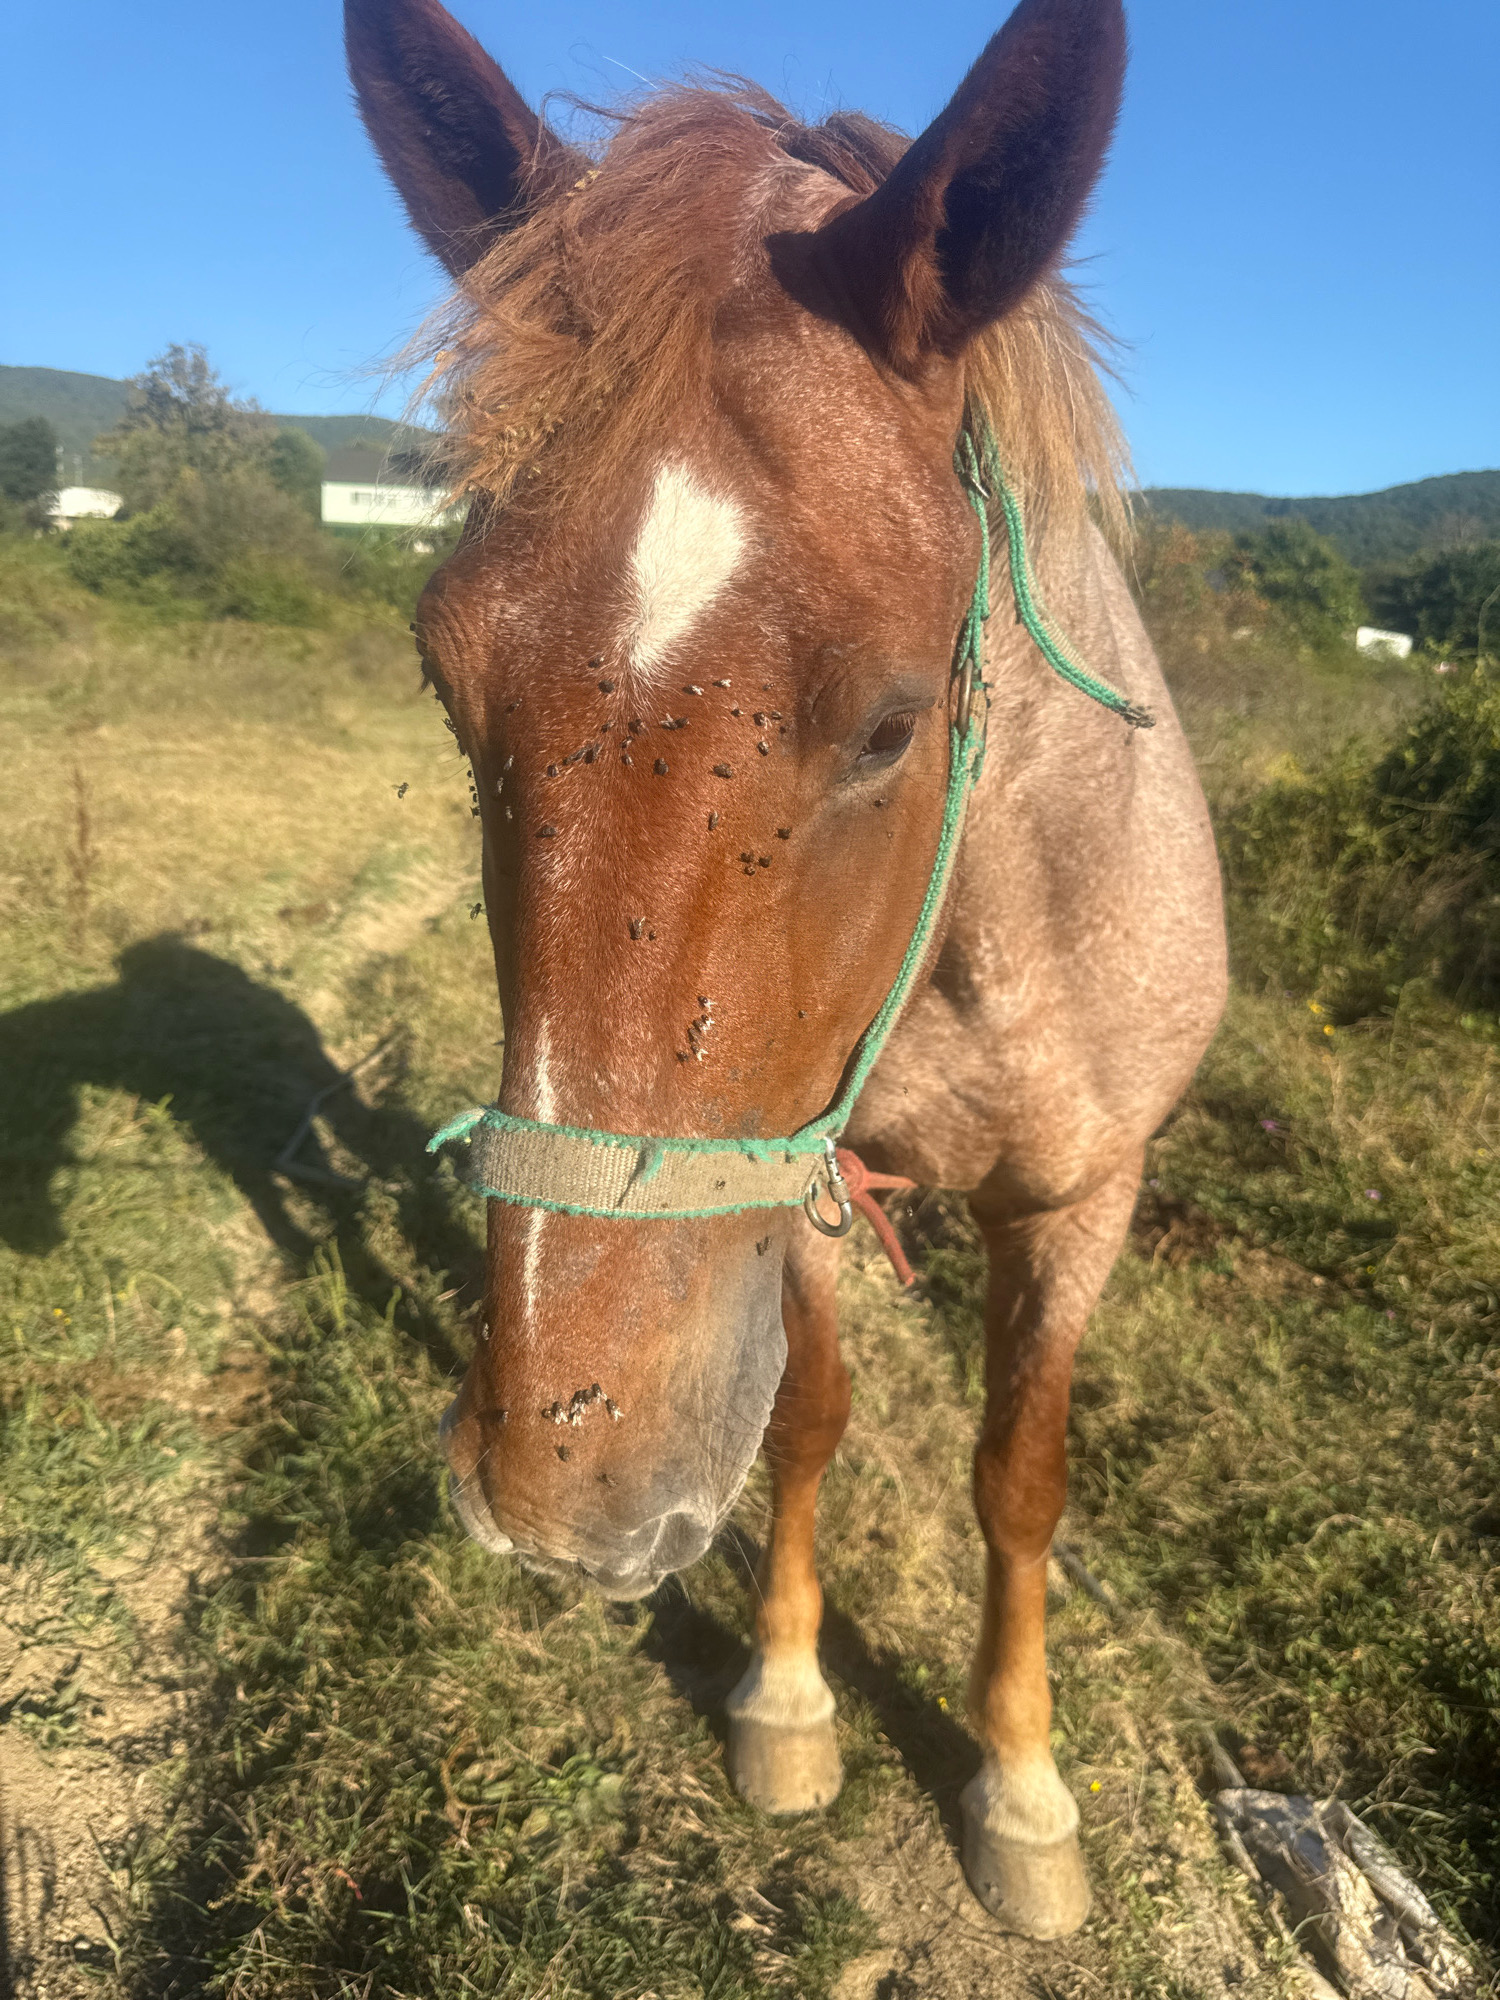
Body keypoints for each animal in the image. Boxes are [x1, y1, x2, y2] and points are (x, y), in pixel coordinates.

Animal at [346, 0, 1226, 1939]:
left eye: (893, 721)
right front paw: (789, 1697)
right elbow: (812, 1417)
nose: (561, 1490)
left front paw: (1023, 1792)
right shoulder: (806, 1175)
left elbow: (1021, 1479)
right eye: (447, 678)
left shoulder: (1084, 1201)